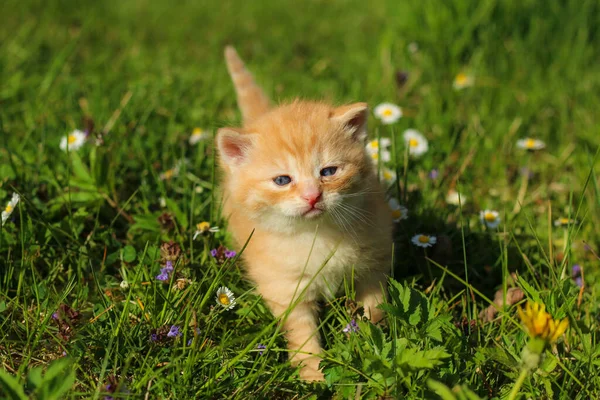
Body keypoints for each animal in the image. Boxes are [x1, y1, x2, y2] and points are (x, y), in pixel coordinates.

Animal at [216, 47, 394, 382]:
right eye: (282, 180)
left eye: (328, 172)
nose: (313, 196)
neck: (317, 234)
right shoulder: (285, 287)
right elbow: (302, 334)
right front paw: (313, 374)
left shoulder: (374, 263)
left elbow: (375, 308)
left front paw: (371, 343)